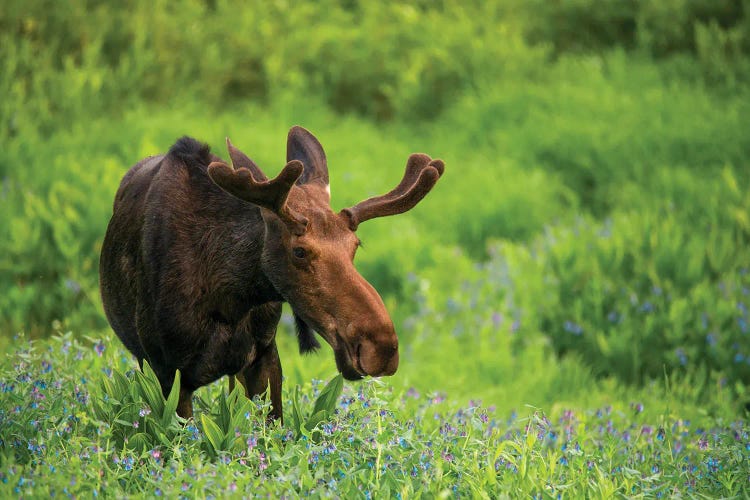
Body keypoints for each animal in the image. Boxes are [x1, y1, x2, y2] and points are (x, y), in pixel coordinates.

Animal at [97, 127, 444, 420]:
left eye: (355, 246)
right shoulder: (166, 368)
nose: (381, 347)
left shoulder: (264, 354)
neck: (230, 298)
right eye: (299, 251)